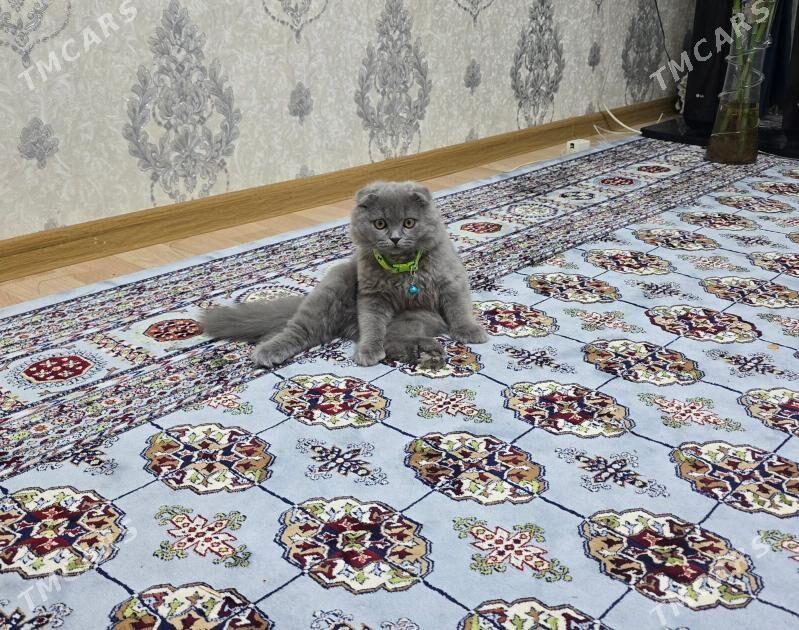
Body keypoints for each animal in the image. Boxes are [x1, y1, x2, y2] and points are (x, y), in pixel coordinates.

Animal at [201, 181, 487, 369]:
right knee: (299, 331)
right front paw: (368, 351)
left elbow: (459, 310)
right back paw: (267, 352)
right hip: (334, 286)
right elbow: (372, 326)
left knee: (394, 340)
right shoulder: (372, 296)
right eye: (380, 224)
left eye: (409, 222)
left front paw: (471, 331)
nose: (395, 238)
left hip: (417, 316)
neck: (403, 267)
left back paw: (428, 353)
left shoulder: (452, 281)